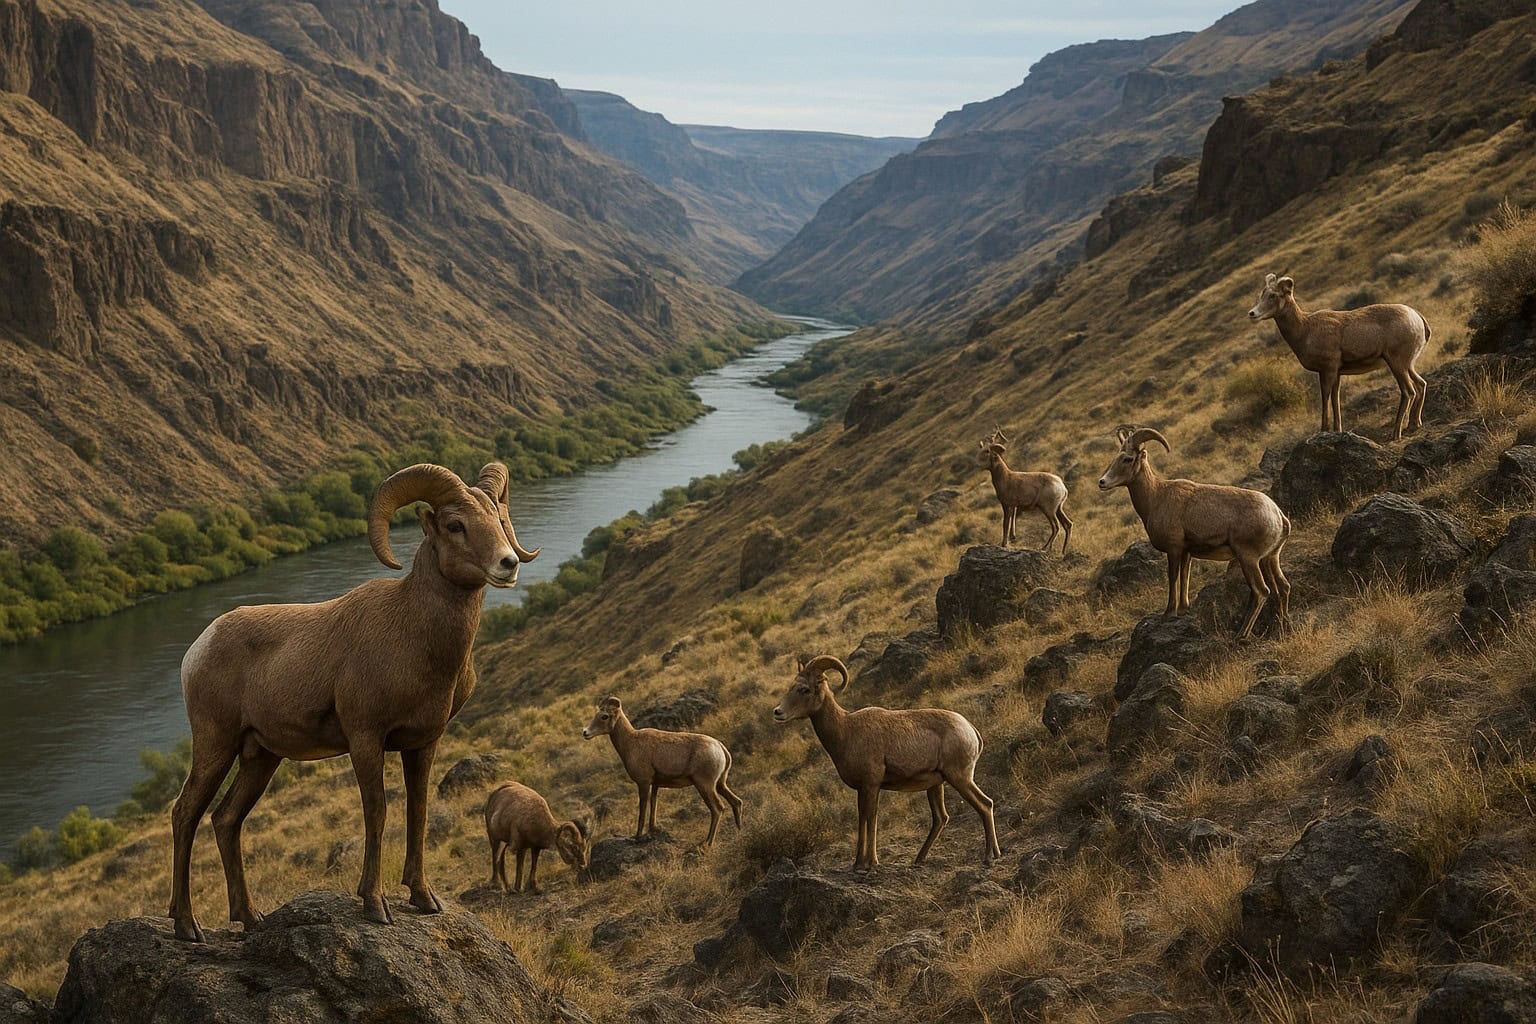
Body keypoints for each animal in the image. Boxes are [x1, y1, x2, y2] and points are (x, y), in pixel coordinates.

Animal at [168, 462, 540, 941]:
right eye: (455, 525)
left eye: (498, 518)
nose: (507, 564)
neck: (415, 638)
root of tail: (198, 648)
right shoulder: (366, 739)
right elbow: (377, 812)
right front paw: (375, 905)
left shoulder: (424, 743)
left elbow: (418, 812)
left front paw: (424, 899)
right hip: (215, 745)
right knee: (185, 814)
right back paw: (187, 925)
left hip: (260, 757)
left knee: (226, 820)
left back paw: (251, 918)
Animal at [581, 696, 743, 846]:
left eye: (604, 716)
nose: (585, 732)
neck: (630, 742)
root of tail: (720, 747)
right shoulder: (655, 785)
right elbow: (653, 806)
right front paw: (652, 830)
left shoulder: (644, 783)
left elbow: (643, 810)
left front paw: (637, 837)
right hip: (719, 785)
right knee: (736, 802)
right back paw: (739, 832)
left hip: (705, 786)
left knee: (717, 809)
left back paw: (707, 843)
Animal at [772, 655, 1000, 871]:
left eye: (804, 689)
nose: (778, 712)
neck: (846, 730)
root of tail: (970, 730)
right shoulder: (863, 789)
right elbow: (864, 819)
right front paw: (860, 864)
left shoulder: (871, 786)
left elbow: (870, 819)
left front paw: (868, 863)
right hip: (937, 785)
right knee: (941, 818)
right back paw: (919, 860)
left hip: (960, 778)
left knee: (984, 804)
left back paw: (989, 858)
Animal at [1098, 426, 1290, 640]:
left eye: (1128, 459)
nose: (1102, 482)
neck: (1155, 497)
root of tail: (1278, 515)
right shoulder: (1186, 553)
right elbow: (1185, 577)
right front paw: (1183, 609)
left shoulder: (1174, 550)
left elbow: (1173, 577)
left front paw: (1169, 612)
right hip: (1269, 559)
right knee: (1282, 587)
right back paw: (1280, 628)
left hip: (1248, 559)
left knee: (1261, 591)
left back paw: (1241, 635)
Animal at [1247, 273, 1429, 439]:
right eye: (1262, 294)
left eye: (1273, 295)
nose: (1252, 313)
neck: (1305, 330)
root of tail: (1417, 318)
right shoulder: (1337, 373)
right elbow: (1335, 400)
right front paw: (1337, 430)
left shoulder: (1327, 370)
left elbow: (1325, 399)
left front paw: (1323, 430)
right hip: (1407, 365)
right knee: (1421, 384)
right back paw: (1414, 425)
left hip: (1397, 364)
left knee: (1409, 392)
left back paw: (1395, 434)